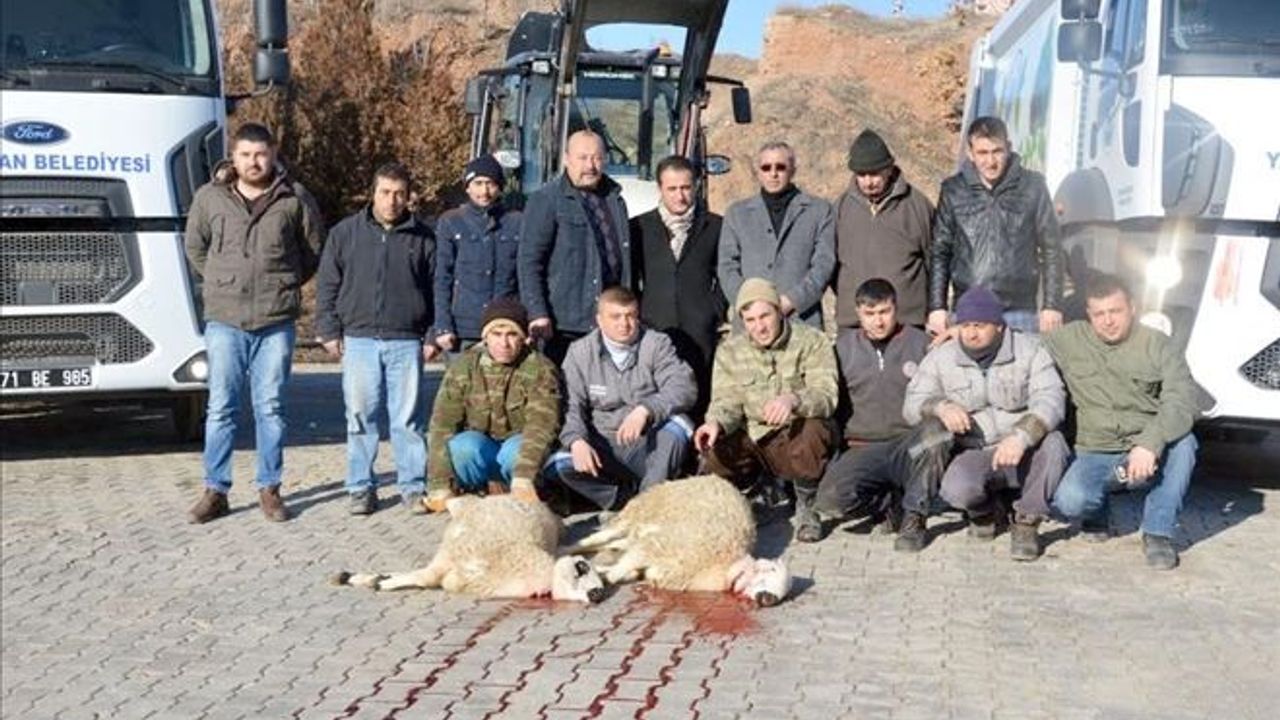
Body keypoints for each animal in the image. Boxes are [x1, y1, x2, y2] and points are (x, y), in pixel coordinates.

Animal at [333, 495, 606, 603]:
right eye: (582, 567)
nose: (597, 594)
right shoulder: (451, 556)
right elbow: (424, 577)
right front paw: (379, 582)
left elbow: (423, 576)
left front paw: (375, 579)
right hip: (467, 509)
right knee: (458, 500)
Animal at [570, 474, 793, 607]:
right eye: (771, 570)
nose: (769, 599)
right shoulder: (654, 547)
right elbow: (616, 574)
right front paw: (599, 577)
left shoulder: (651, 559)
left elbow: (625, 571)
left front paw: (598, 572)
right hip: (640, 514)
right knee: (599, 537)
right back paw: (567, 549)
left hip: (637, 531)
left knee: (611, 543)